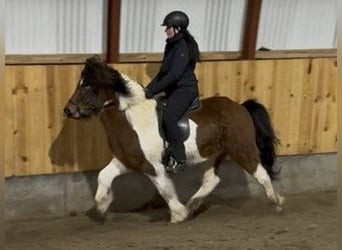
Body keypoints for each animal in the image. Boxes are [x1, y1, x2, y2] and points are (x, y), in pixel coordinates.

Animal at [63, 55, 284, 224]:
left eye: (88, 86)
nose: (68, 110)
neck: (132, 117)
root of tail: (240, 106)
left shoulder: (153, 167)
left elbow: (165, 189)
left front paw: (178, 214)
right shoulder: (127, 160)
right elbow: (103, 175)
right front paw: (102, 206)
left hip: (242, 149)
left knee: (261, 173)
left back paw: (277, 202)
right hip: (215, 154)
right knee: (212, 179)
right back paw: (193, 204)